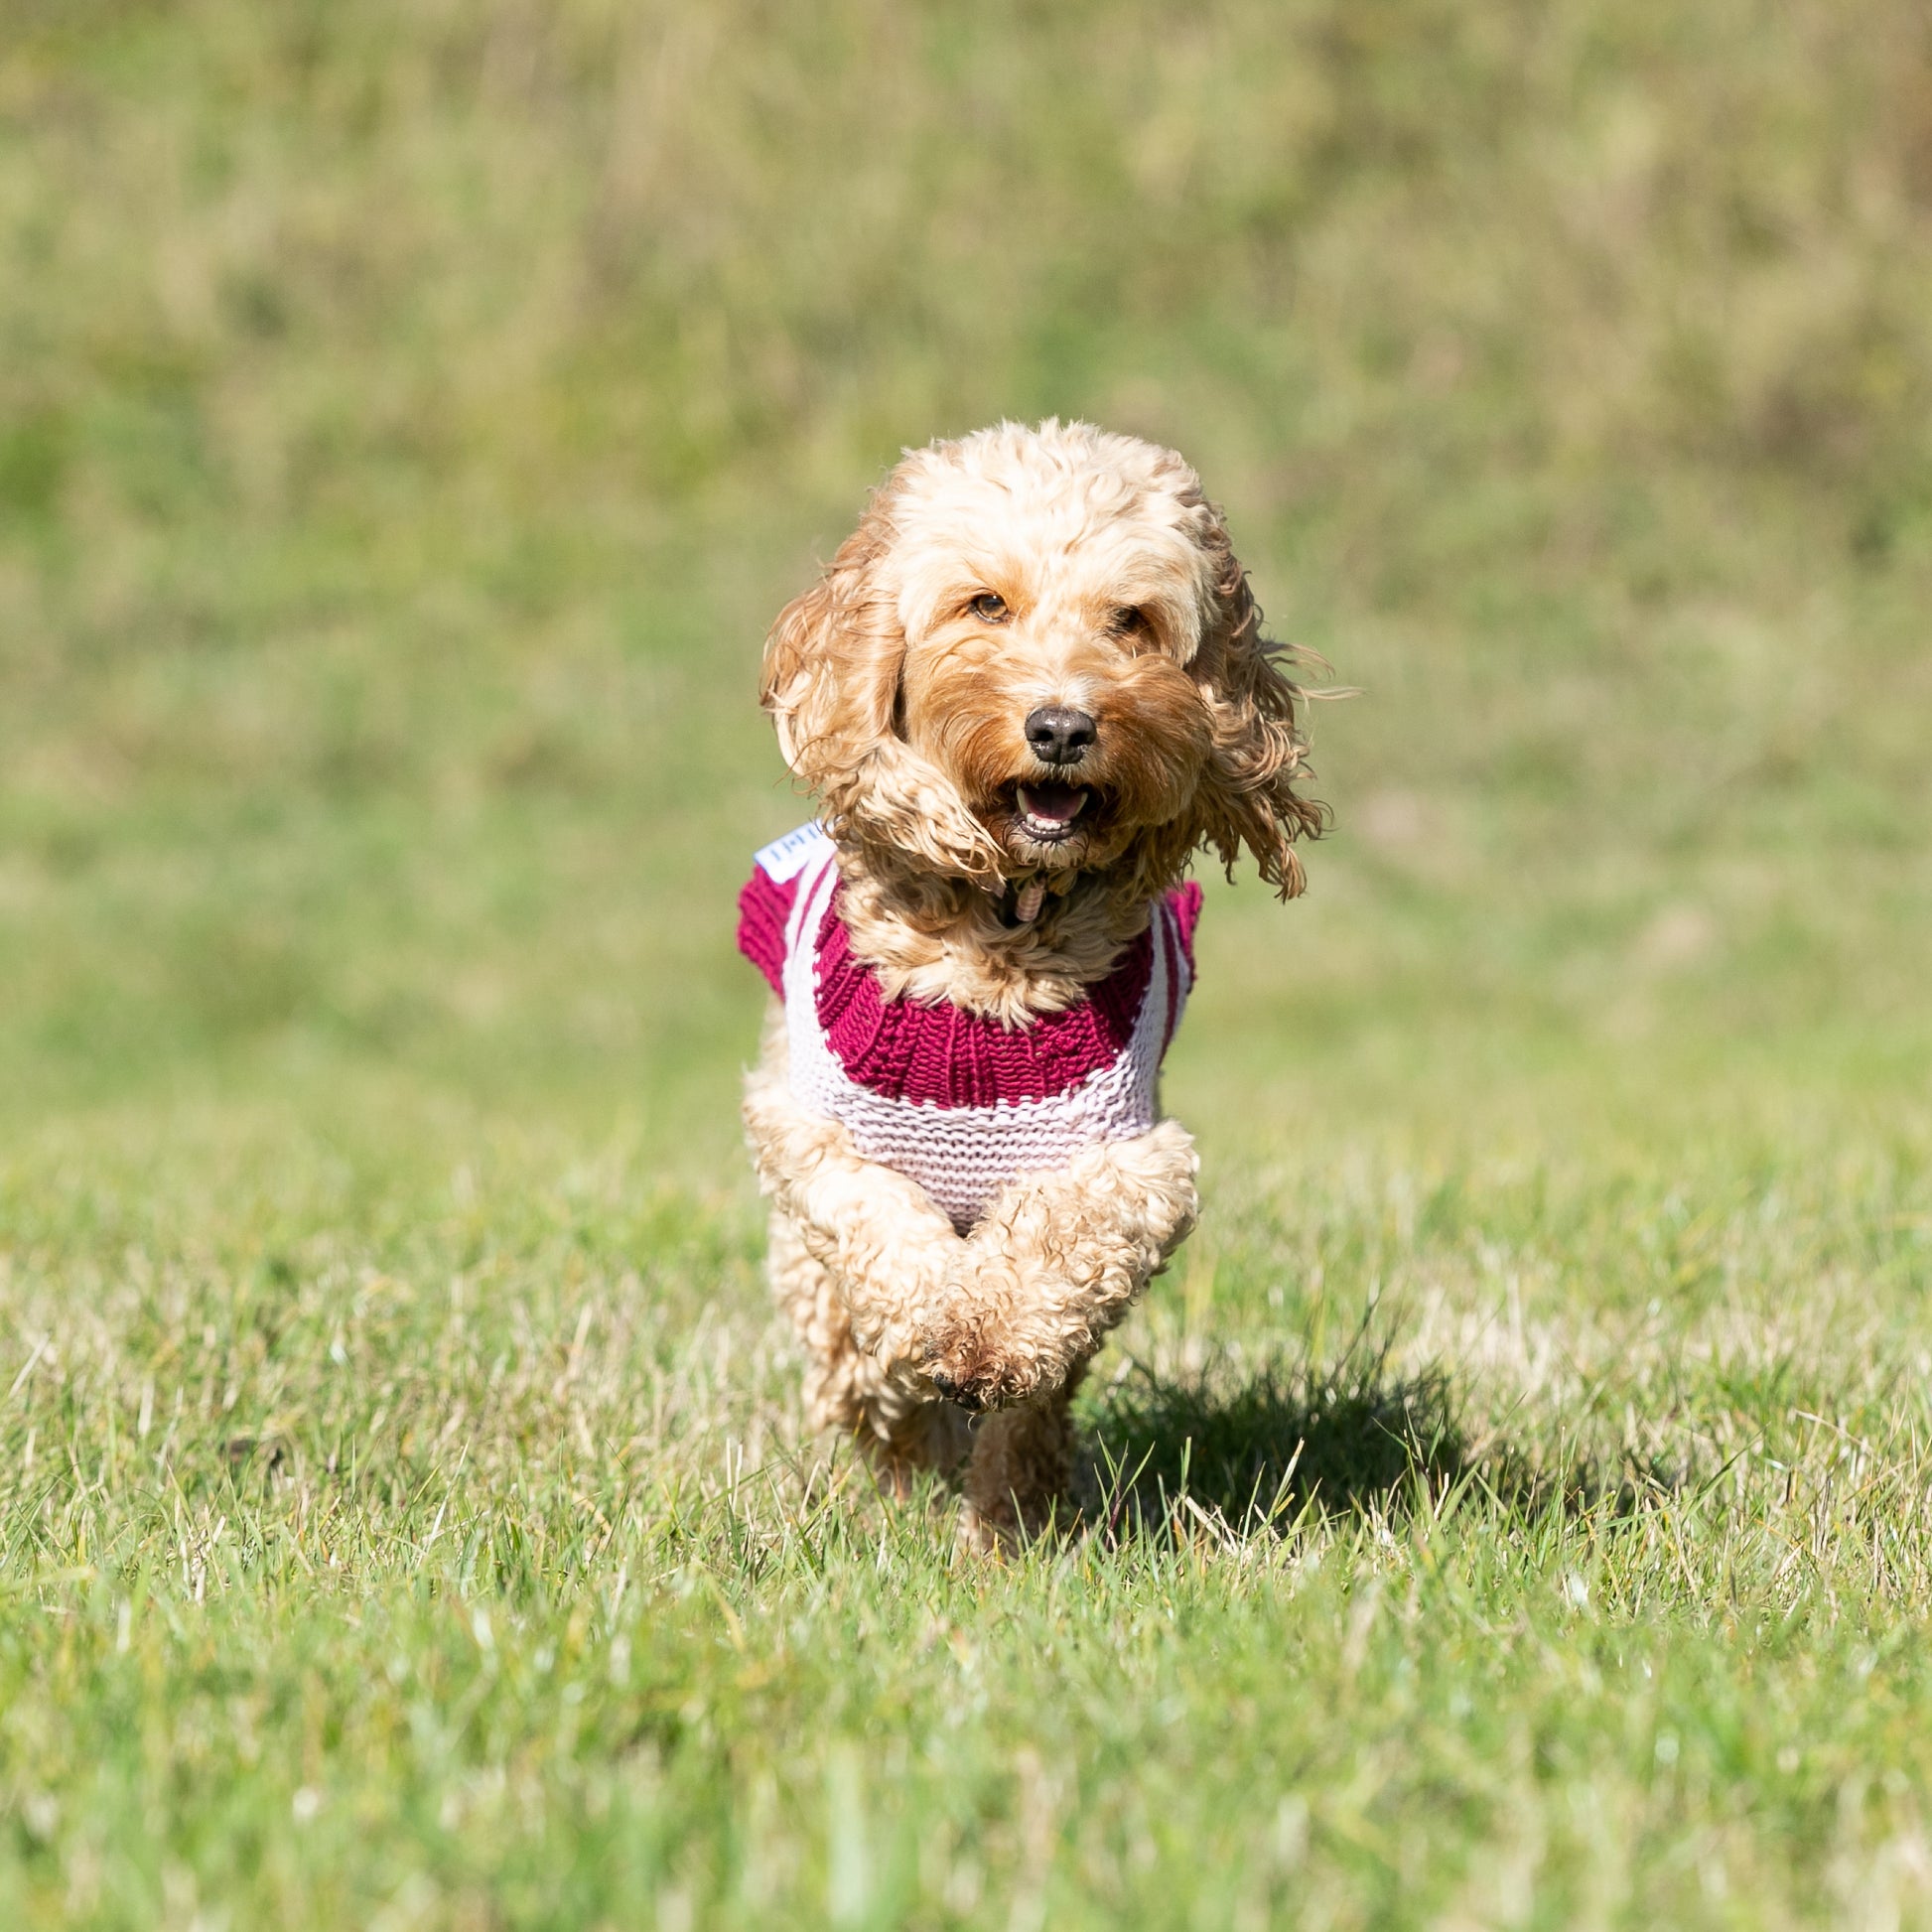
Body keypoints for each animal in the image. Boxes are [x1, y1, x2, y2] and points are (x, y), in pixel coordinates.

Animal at [730, 415, 1321, 1545]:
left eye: (1130, 621)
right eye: (983, 604)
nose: (1061, 727)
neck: (1002, 927)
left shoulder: (1129, 1156)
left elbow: (1054, 1252)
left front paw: (990, 1343)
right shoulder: (812, 1136)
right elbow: (890, 1238)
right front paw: (934, 1331)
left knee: (1030, 1414)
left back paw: (1012, 1508)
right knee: (856, 1368)